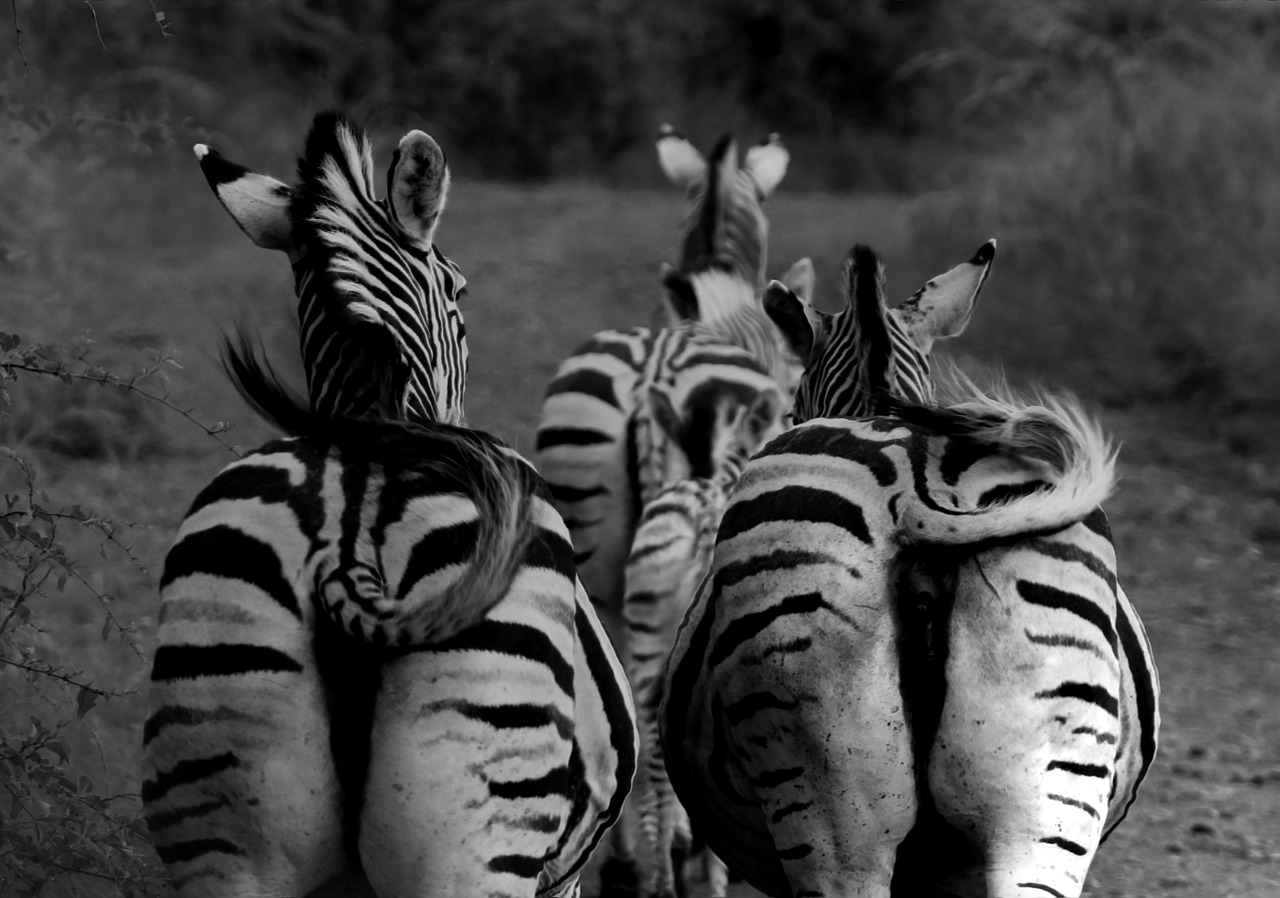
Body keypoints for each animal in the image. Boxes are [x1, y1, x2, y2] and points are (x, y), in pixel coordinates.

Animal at [142, 110, 637, 898]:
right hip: (471, 836)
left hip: (233, 822)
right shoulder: (561, 874)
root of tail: (349, 544)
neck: (377, 413)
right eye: (459, 293)